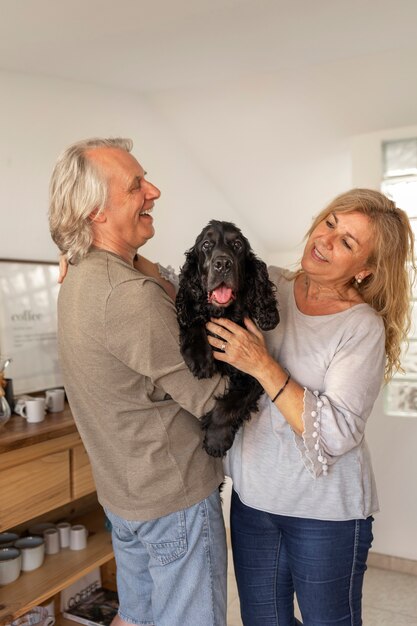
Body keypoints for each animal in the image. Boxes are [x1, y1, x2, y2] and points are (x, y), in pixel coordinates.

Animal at [176, 219, 280, 454]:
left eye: (237, 245)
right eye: (206, 245)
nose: (222, 264)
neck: (223, 314)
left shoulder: (254, 373)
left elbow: (230, 405)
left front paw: (216, 439)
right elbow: (194, 319)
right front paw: (199, 357)